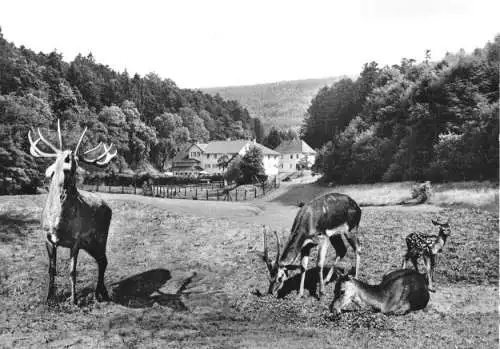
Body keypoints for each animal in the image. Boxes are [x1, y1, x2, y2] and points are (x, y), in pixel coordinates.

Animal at [28, 120, 117, 304]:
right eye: (59, 158)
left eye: (76, 161)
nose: (69, 155)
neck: (58, 223)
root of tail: (108, 207)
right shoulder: (46, 237)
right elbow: (51, 269)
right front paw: (49, 297)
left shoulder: (76, 240)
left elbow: (72, 271)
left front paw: (73, 299)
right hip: (90, 243)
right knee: (101, 260)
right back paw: (101, 292)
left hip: (100, 237)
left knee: (104, 261)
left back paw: (98, 293)